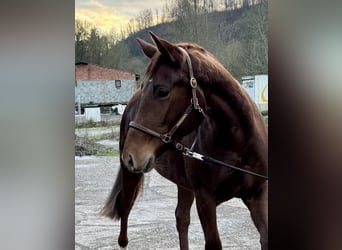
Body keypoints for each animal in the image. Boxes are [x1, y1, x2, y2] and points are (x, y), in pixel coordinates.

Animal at [100, 31, 268, 250]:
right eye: (143, 86)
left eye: (162, 91)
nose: (131, 155)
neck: (237, 144)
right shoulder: (205, 199)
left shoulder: (258, 195)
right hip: (132, 176)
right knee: (125, 210)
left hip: (183, 184)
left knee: (181, 218)